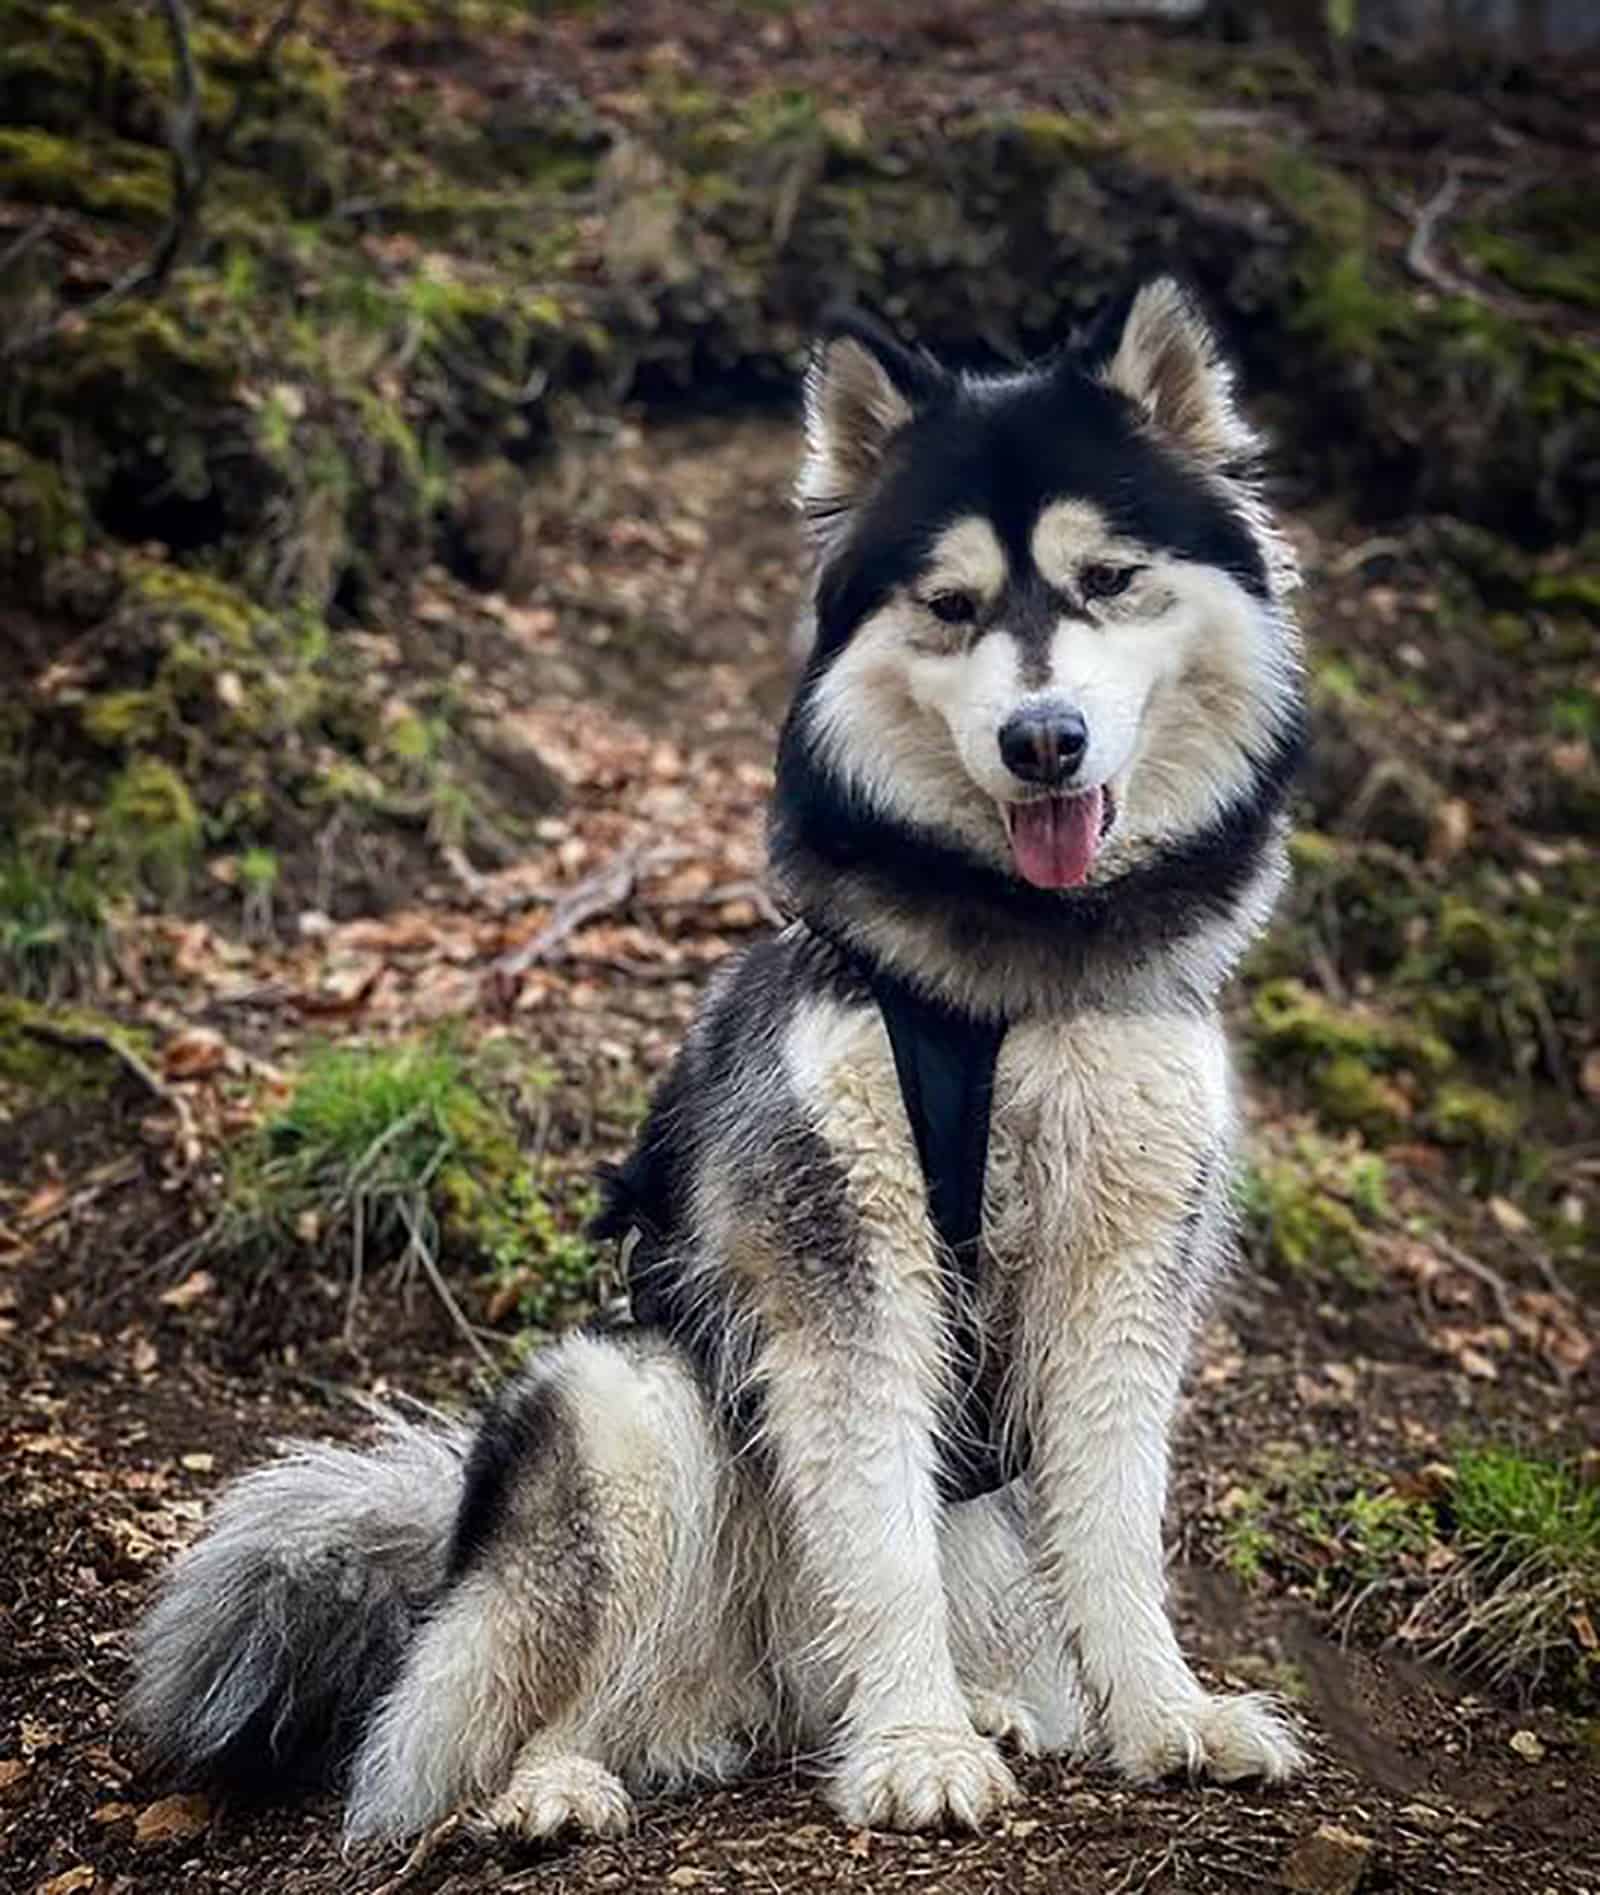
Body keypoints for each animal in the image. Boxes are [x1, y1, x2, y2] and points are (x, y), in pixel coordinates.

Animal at [134, 274, 1311, 1841]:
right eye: (950, 605)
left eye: (1108, 578)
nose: (1042, 740)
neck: (1015, 976)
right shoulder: (841, 1260)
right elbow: (876, 1531)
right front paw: (916, 1743)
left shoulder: (1124, 1261)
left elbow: (1116, 1521)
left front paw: (1164, 1714)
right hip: (625, 1408)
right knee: (495, 1721)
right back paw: (563, 1777)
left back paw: (977, 1701)